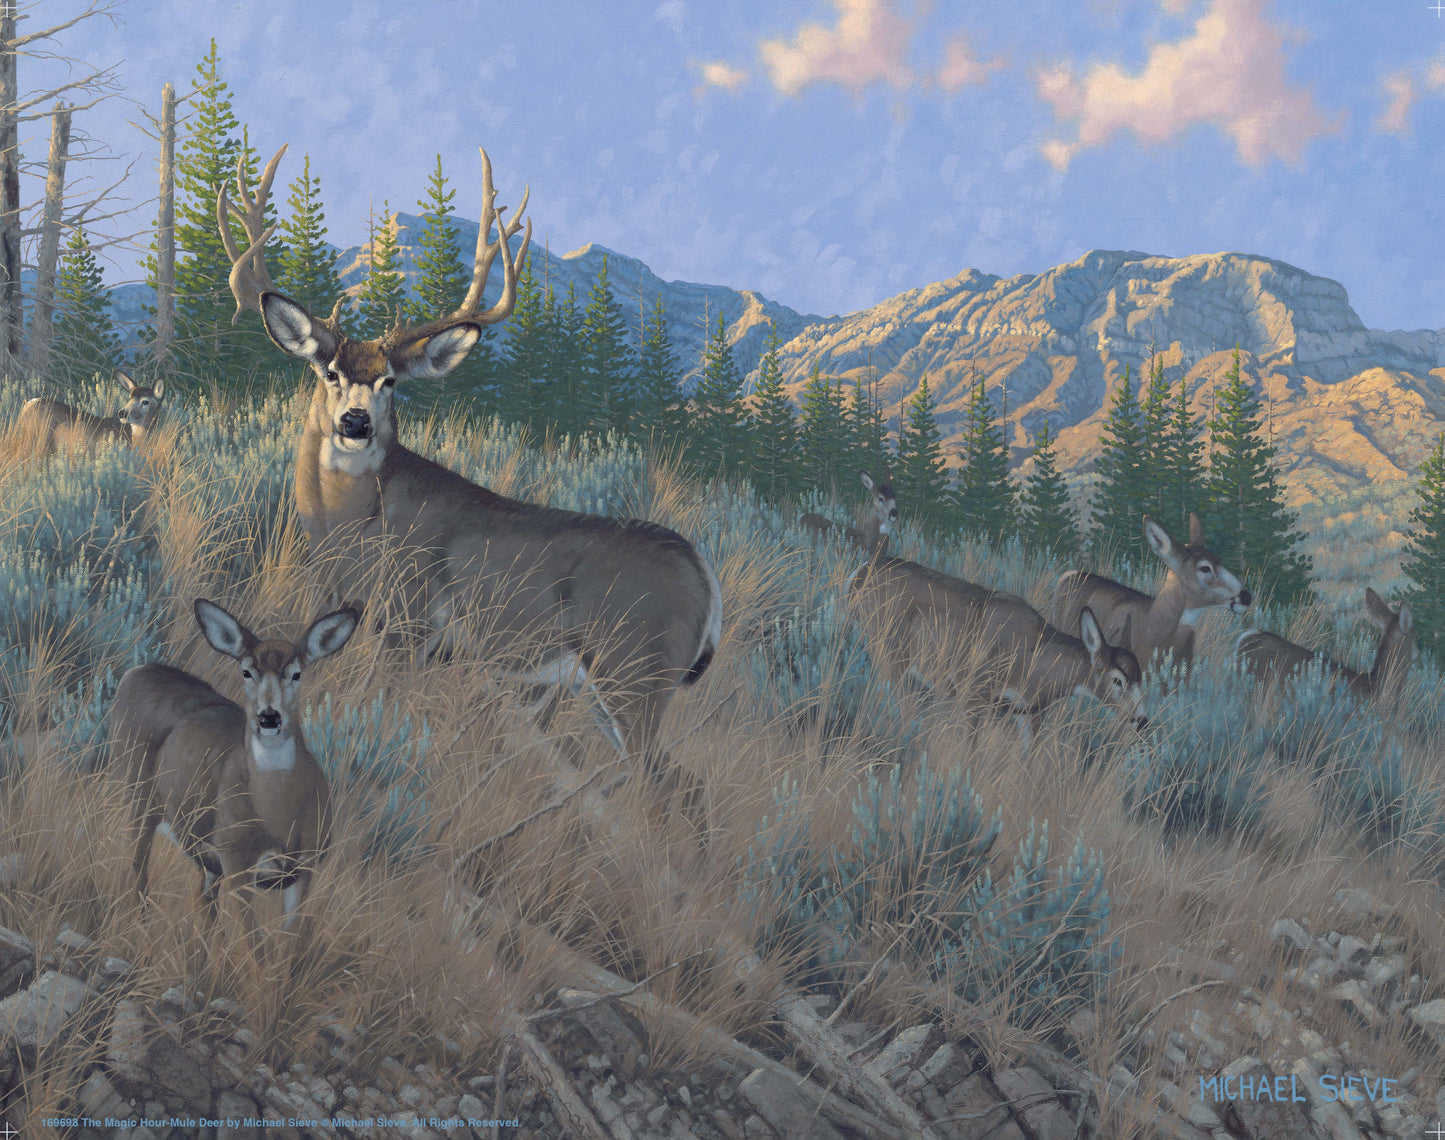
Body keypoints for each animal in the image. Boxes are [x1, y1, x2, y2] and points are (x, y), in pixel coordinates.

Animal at [108, 599, 358, 938]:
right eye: (246, 671)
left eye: (296, 674)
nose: (269, 716)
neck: (278, 815)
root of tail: (135, 671)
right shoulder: (236, 856)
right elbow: (254, 941)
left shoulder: (307, 862)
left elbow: (292, 940)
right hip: (138, 792)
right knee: (136, 868)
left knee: (204, 901)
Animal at [218, 145, 722, 782]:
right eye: (329, 373)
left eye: (389, 381)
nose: (354, 423)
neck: (345, 528)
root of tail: (704, 573)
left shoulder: (409, 621)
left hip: (633, 669)